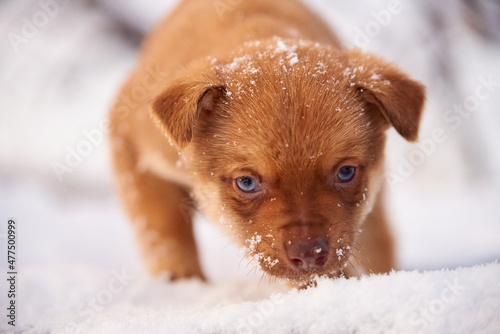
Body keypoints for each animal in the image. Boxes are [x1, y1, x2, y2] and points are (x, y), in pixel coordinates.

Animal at [107, 0, 424, 288]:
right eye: (247, 182)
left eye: (345, 172)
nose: (309, 256)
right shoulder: (129, 138)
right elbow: (164, 225)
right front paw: (182, 281)